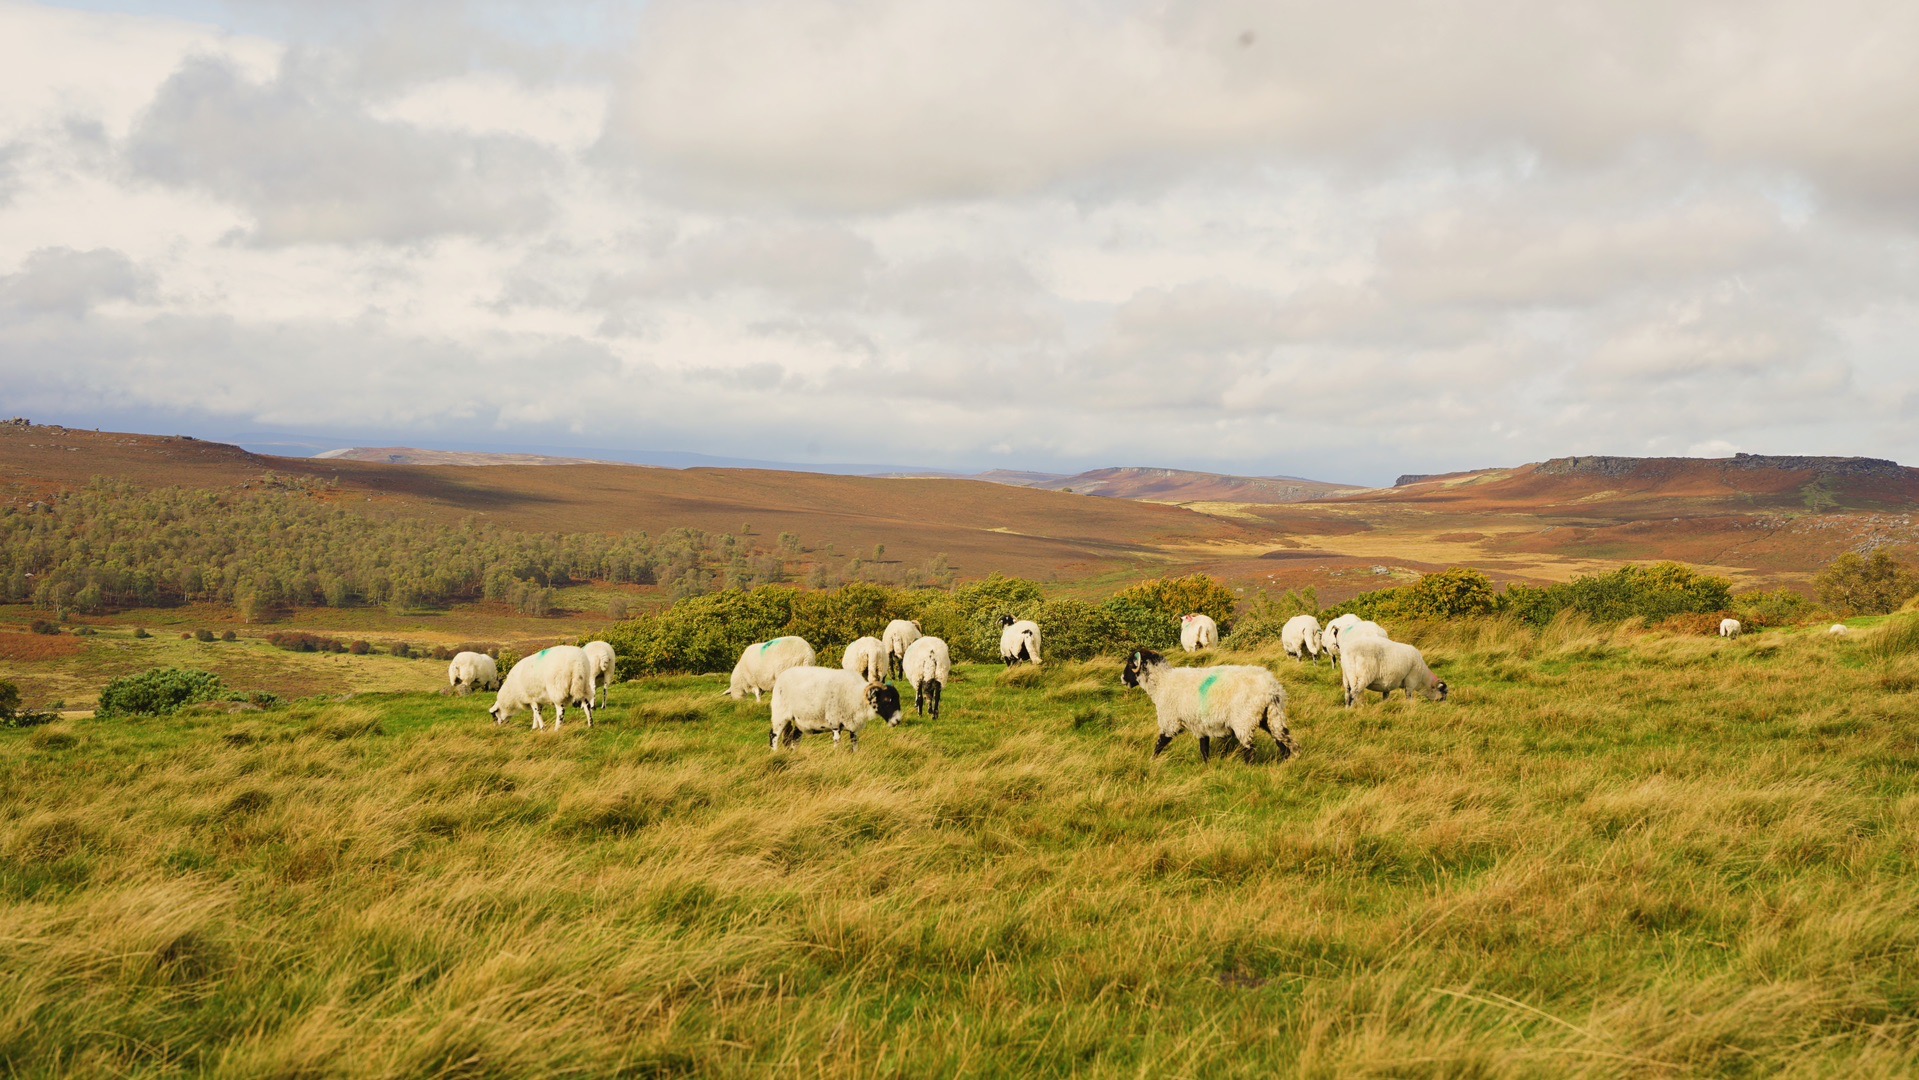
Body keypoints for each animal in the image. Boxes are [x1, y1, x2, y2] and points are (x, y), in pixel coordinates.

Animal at [767, 667, 901, 751]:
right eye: (887, 699)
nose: (898, 720)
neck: (855, 695)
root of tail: (781, 677)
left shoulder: (854, 728)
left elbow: (855, 744)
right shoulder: (835, 723)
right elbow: (837, 743)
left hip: (799, 722)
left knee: (795, 739)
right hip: (780, 715)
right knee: (774, 736)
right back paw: (776, 753)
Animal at [1120, 648, 1297, 763]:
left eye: (1129, 663)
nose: (1122, 678)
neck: (1162, 682)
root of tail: (1272, 689)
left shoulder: (1171, 721)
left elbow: (1160, 743)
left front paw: (1151, 761)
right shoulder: (1200, 725)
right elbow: (1204, 748)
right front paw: (1207, 767)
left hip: (1244, 720)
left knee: (1250, 749)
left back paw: (1250, 769)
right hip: (1270, 717)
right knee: (1282, 741)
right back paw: (1284, 764)